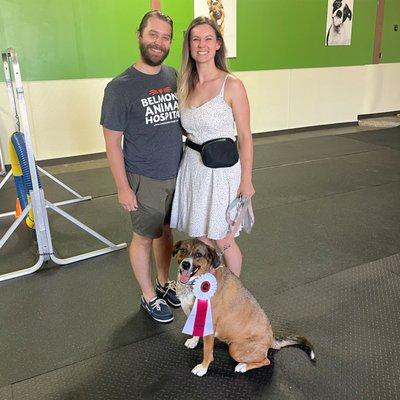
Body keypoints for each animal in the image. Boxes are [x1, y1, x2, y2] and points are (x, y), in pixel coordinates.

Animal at [173, 239, 316, 376]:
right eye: (183, 250)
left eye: (198, 255)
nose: (185, 264)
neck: (197, 282)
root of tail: (271, 339)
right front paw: (194, 341)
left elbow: (208, 352)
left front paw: (203, 368)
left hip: (235, 349)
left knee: (266, 361)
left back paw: (242, 366)